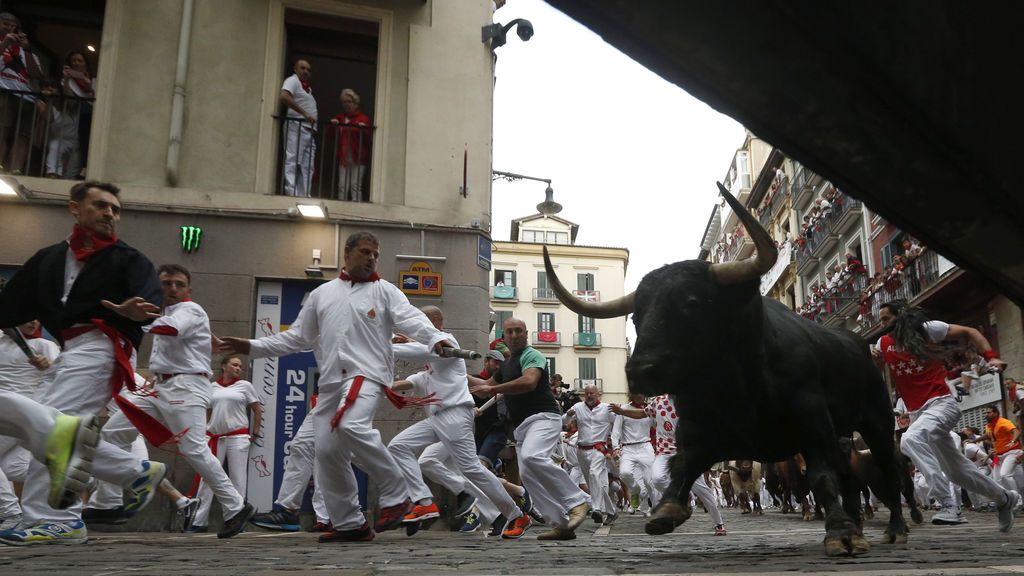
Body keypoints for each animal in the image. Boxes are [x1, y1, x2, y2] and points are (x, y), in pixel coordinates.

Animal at [548, 181, 909, 553]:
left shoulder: (814, 423)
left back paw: (894, 528)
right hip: (844, 435)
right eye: (636, 315)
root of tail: (859, 342)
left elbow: (821, 477)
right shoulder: (698, 431)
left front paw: (839, 532)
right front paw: (667, 509)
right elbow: (683, 467)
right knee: (850, 478)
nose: (640, 371)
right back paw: (861, 528)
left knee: (887, 471)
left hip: (876, 421)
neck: (736, 383)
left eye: (692, 303)